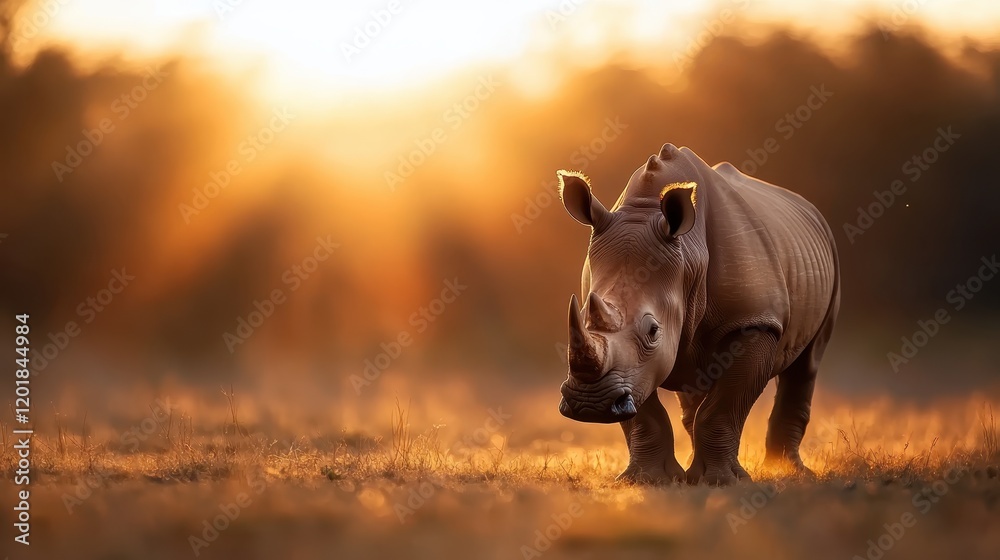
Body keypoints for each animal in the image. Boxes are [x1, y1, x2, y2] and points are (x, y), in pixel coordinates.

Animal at [556, 143, 840, 485]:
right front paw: (647, 480)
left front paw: (722, 481)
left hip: (829, 259)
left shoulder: (754, 321)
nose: (590, 404)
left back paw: (789, 471)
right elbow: (645, 411)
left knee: (807, 362)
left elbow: (723, 406)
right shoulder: (631, 368)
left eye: (653, 331)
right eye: (582, 317)